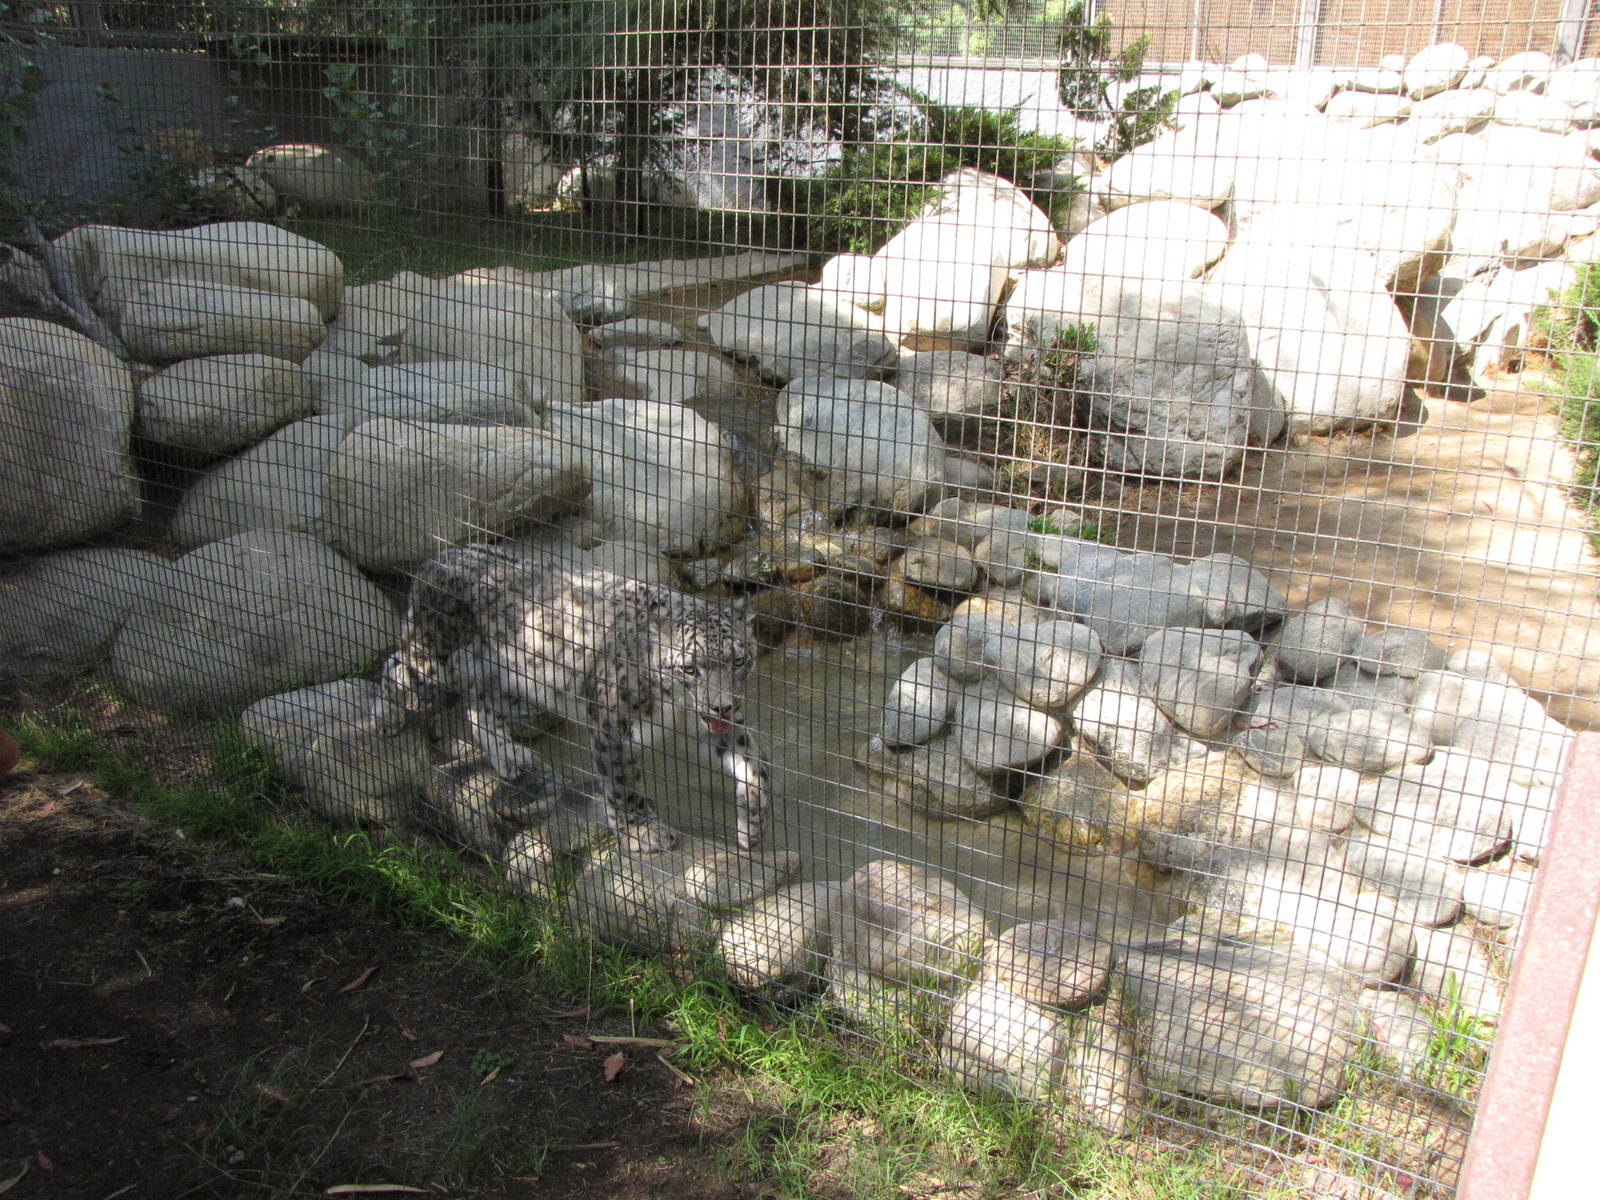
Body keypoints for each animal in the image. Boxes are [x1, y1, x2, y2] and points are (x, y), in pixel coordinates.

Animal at [369, 543, 771, 854]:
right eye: (689, 668)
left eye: (738, 660)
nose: (721, 705)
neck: (676, 702)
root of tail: (439, 556)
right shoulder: (612, 722)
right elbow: (624, 781)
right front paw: (642, 831)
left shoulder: (711, 723)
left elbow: (755, 761)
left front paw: (753, 822)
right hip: (436, 660)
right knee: (397, 665)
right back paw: (385, 718)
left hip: (506, 678)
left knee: (480, 708)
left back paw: (510, 756)